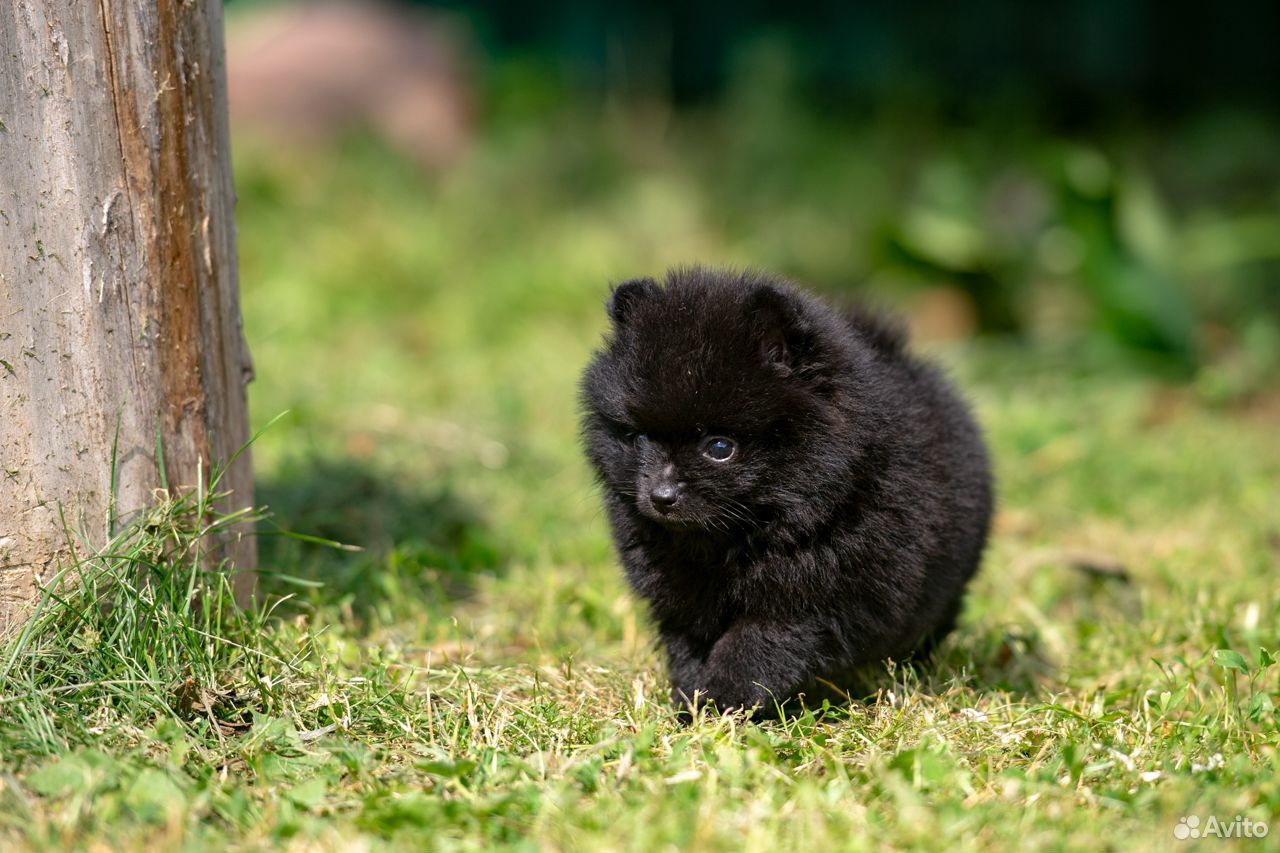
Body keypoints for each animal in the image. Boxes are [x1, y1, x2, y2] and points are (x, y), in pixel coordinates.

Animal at [578, 267, 988, 717]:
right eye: (640, 438)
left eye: (719, 447)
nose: (662, 496)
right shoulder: (679, 599)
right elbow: (688, 646)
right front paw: (692, 704)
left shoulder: (814, 598)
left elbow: (756, 648)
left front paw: (723, 705)